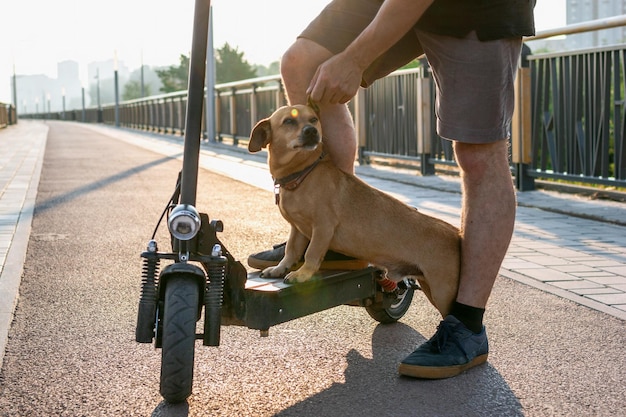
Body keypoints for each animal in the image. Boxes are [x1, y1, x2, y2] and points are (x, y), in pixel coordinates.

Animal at [247, 104, 458, 316]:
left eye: (314, 119)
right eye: (288, 121)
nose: (311, 131)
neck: (303, 174)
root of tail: (457, 235)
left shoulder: (323, 227)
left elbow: (311, 253)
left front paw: (303, 274)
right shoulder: (297, 229)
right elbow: (291, 250)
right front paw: (279, 268)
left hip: (443, 293)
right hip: (430, 287)